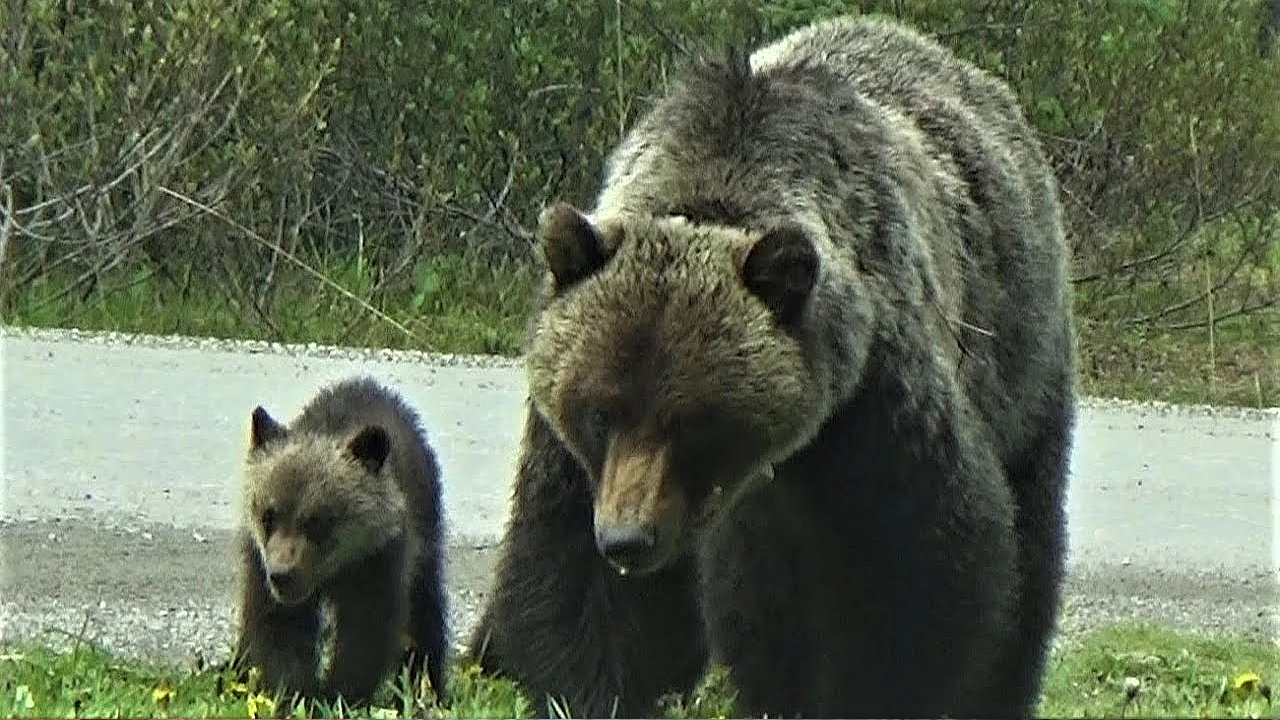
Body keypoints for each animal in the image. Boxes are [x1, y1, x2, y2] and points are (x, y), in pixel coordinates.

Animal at [465, 12, 1075, 717]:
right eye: (598, 412)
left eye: (696, 423)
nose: (628, 538)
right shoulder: (577, 455)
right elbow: (573, 574)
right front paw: (594, 686)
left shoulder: (874, 402)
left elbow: (906, 564)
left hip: (1023, 356)